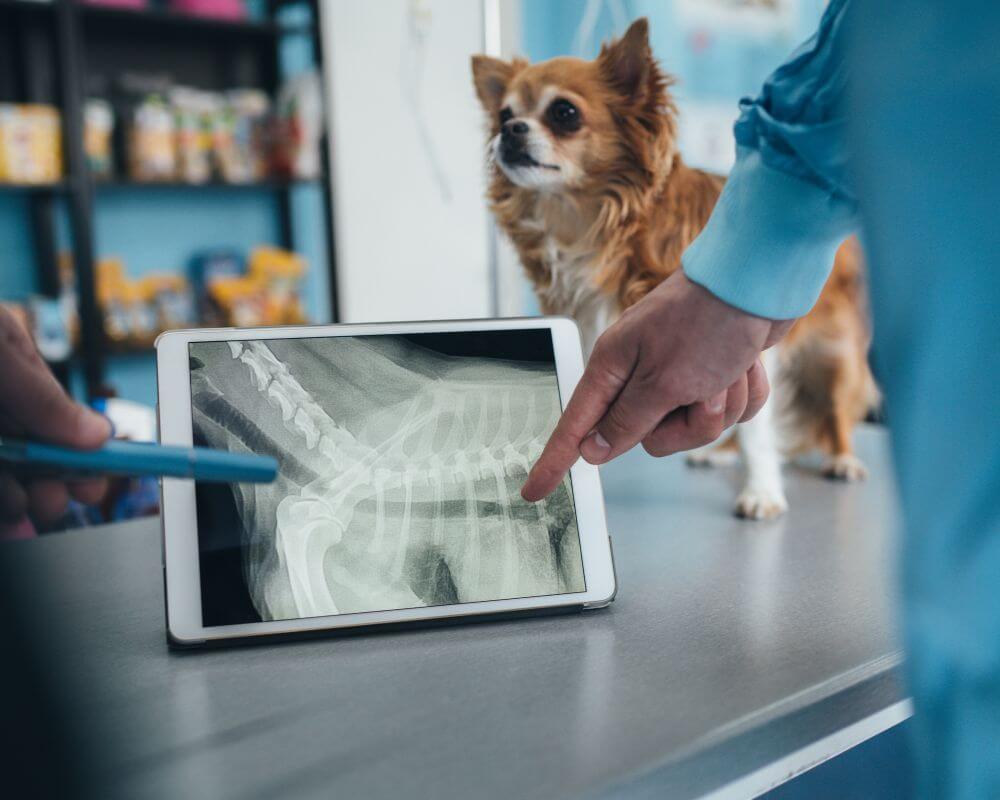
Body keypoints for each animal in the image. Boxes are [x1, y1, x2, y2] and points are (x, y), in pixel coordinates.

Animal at [470, 18, 876, 520]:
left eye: (564, 112)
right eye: (504, 113)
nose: (509, 130)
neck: (590, 226)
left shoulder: (736, 349)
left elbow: (758, 433)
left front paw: (763, 491)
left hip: (835, 358)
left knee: (834, 414)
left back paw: (842, 459)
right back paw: (717, 454)